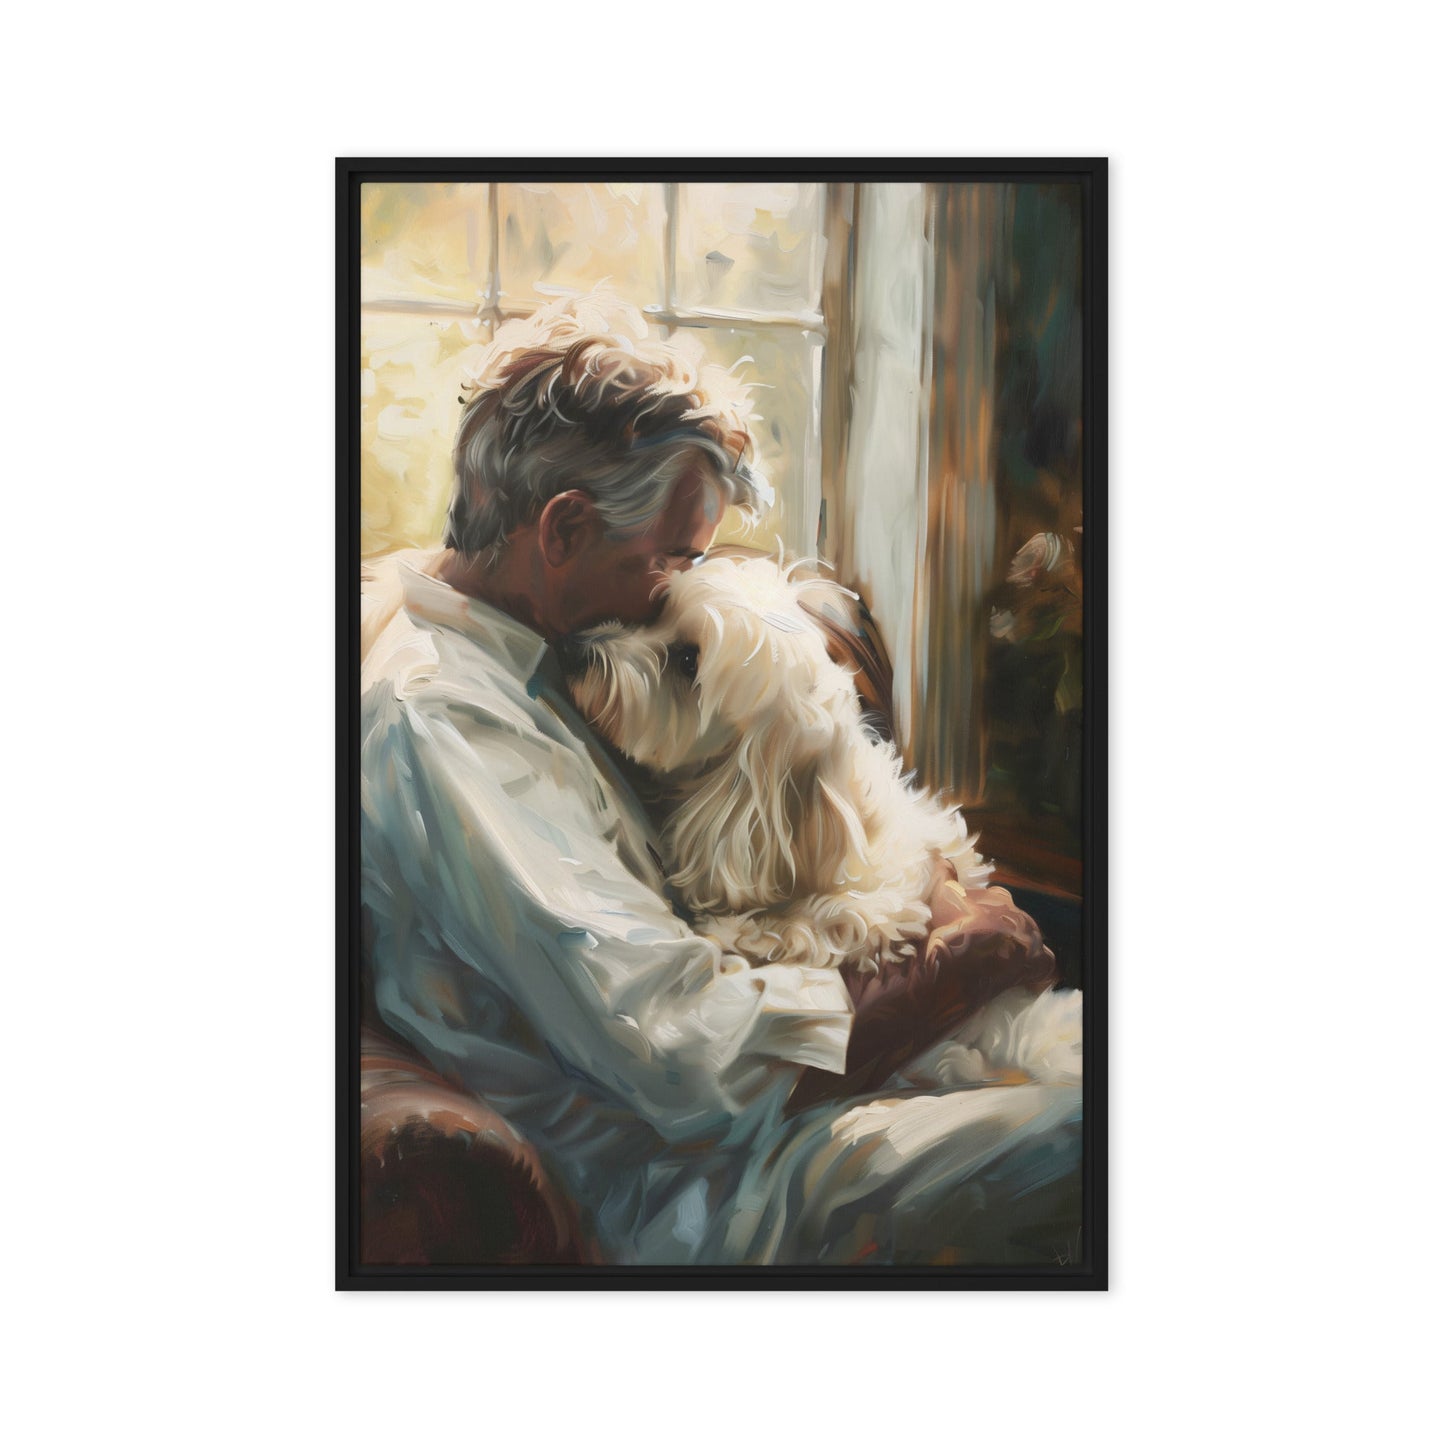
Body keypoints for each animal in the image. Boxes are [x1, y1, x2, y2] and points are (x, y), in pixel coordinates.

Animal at [563, 551, 994, 971]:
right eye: (657, 614)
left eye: (688, 661)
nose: (575, 648)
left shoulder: (885, 898)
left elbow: (829, 920)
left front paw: (739, 931)